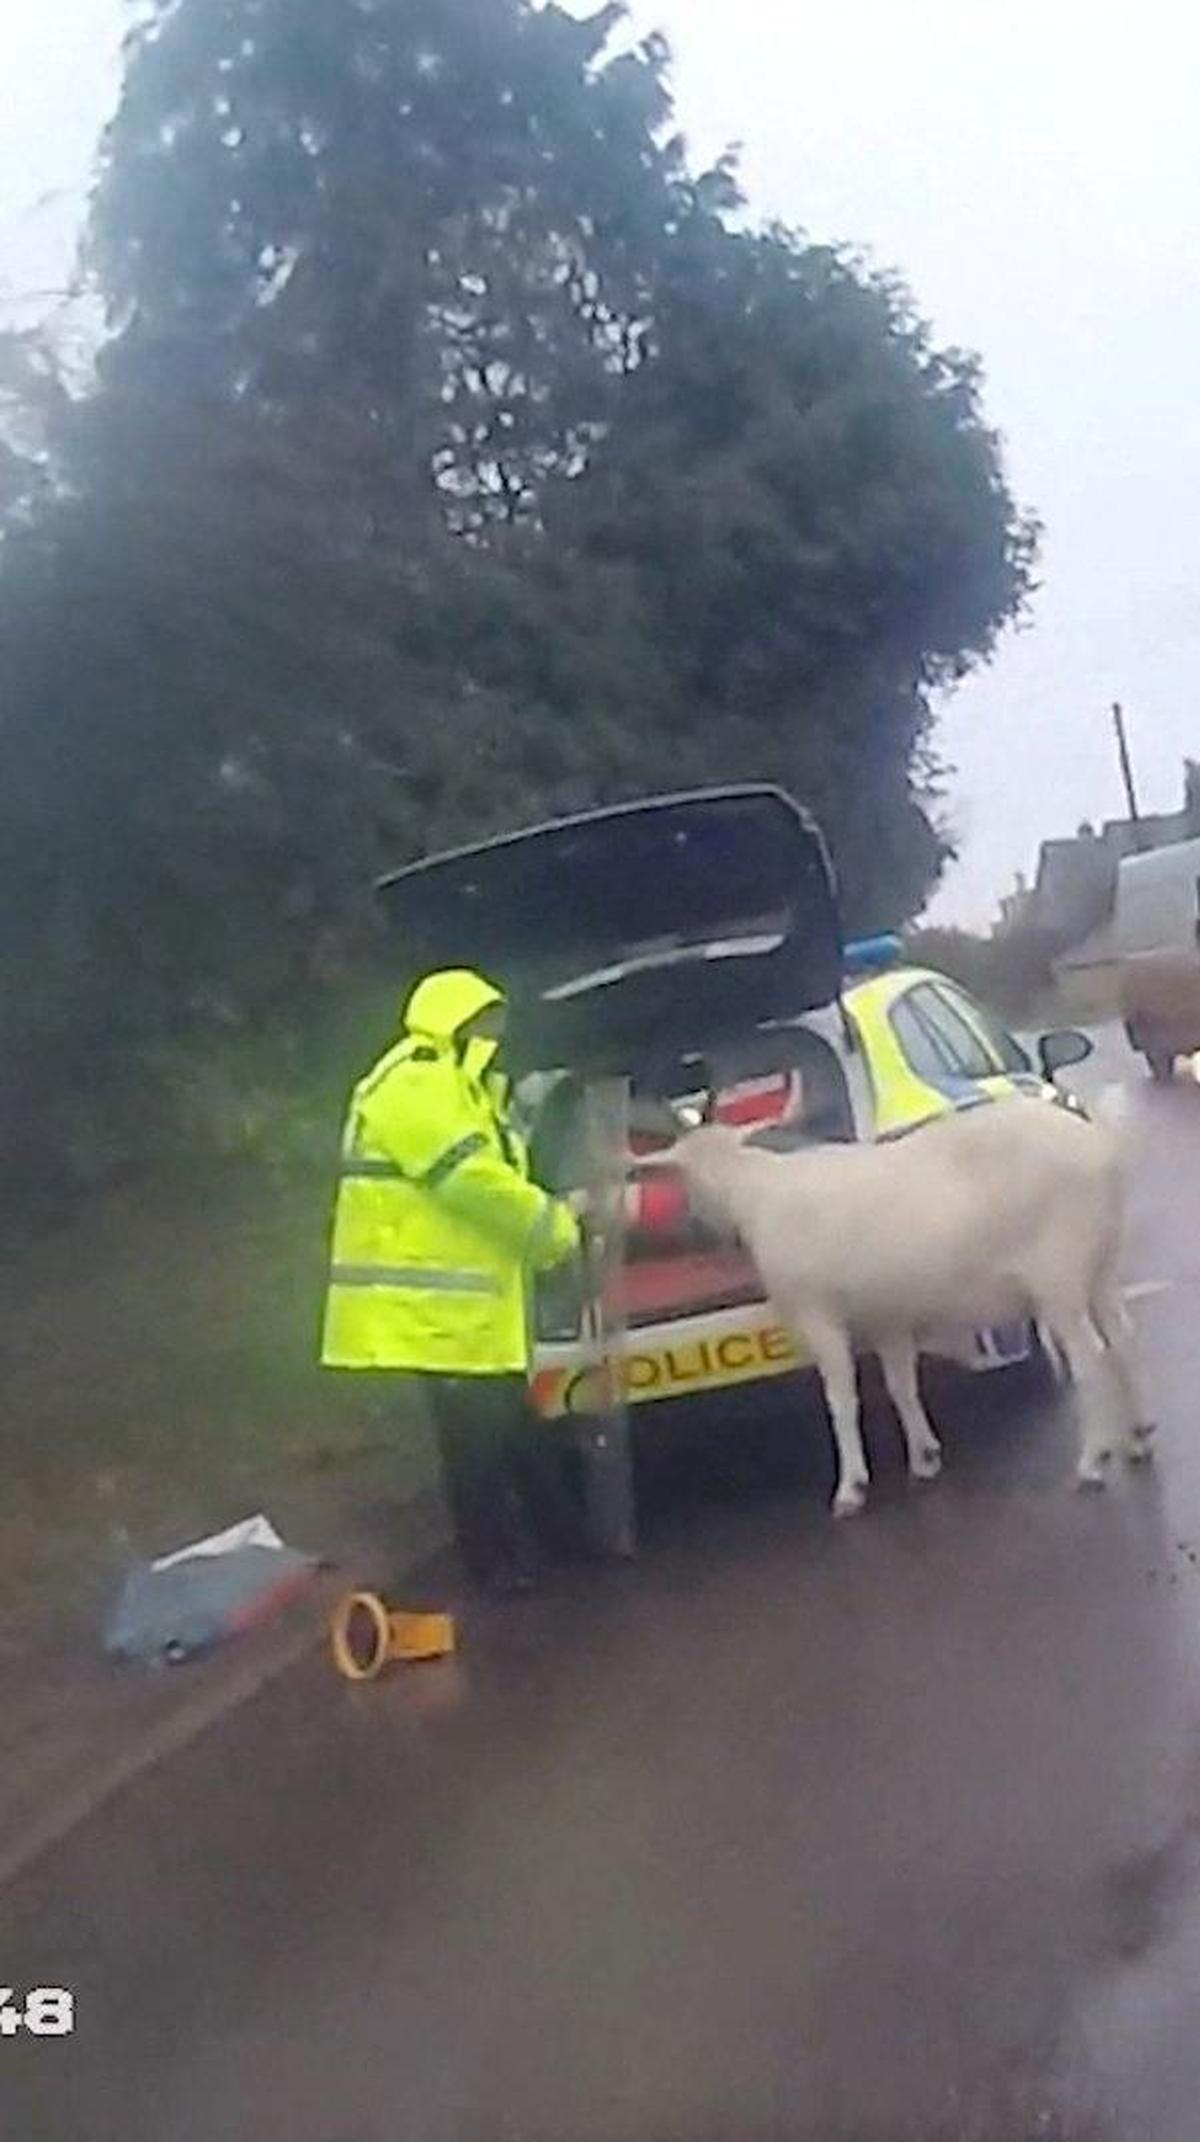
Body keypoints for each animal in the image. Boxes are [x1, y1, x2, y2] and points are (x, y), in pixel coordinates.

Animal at [666, 1094, 1149, 1515]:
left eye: (684, 1175)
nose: (693, 1229)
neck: (754, 1190)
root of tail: (1100, 1143)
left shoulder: (819, 1315)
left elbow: (842, 1400)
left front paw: (852, 1487)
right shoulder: (888, 1318)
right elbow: (901, 1386)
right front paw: (924, 1457)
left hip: (1059, 1274)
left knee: (1091, 1356)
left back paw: (1093, 1459)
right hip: (1102, 1259)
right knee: (1122, 1337)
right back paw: (1139, 1437)